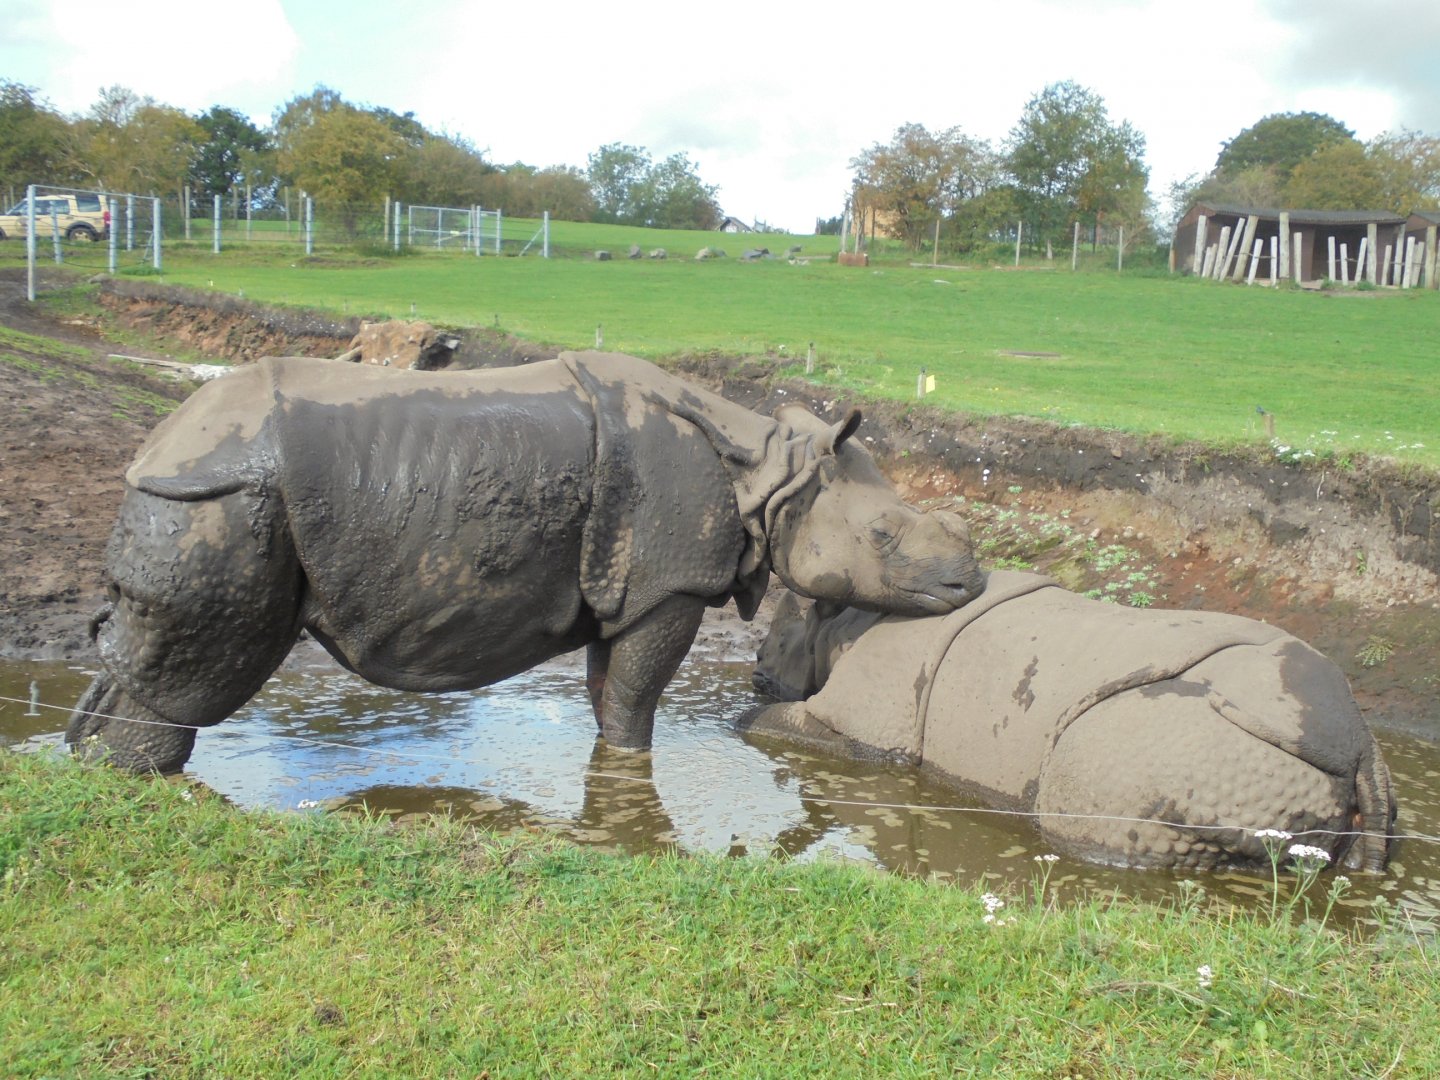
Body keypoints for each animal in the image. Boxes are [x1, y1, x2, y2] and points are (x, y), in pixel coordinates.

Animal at [67, 351, 984, 774]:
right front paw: (632, 771)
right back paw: (142, 785)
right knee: (199, 677)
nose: (970, 583)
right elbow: (637, 696)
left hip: (195, 496)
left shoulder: (629, 584)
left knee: (140, 666)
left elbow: (610, 692)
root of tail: (157, 446)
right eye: (884, 537)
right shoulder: (669, 584)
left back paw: (95, 769)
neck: (771, 473)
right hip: (217, 501)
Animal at [745, 570, 1395, 872]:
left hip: (1190, 750)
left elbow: (769, 725)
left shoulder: (869, 732)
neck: (838, 627)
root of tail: (1354, 743)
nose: (755, 671)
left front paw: (748, 713)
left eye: (773, 644)